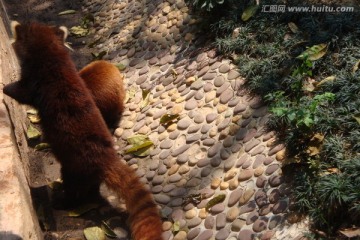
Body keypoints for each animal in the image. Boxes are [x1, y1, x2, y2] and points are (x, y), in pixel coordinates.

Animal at [2, 22, 163, 240]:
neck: (53, 58)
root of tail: (106, 158)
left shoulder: (35, 84)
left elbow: (20, 93)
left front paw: (4, 89)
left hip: (74, 166)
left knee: (73, 186)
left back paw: (63, 201)